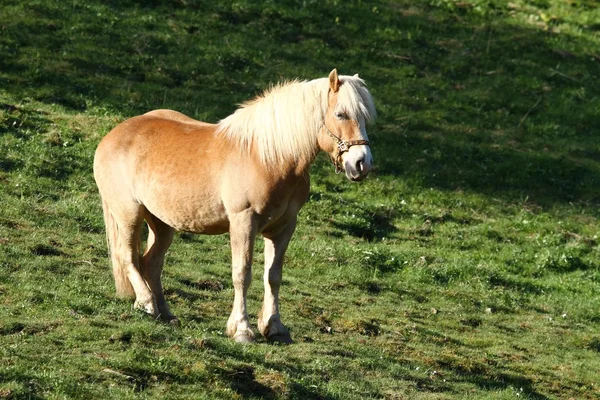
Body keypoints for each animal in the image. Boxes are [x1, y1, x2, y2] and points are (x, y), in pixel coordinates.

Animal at [92, 69, 376, 344]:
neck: (269, 157)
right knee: (127, 255)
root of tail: (114, 134)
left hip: (161, 222)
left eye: (365, 117)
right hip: (129, 213)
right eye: (340, 114)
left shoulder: (283, 227)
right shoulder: (243, 221)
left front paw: (274, 327)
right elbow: (242, 273)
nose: (362, 164)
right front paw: (241, 329)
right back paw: (147, 303)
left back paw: (166, 314)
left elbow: (273, 276)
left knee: (151, 262)